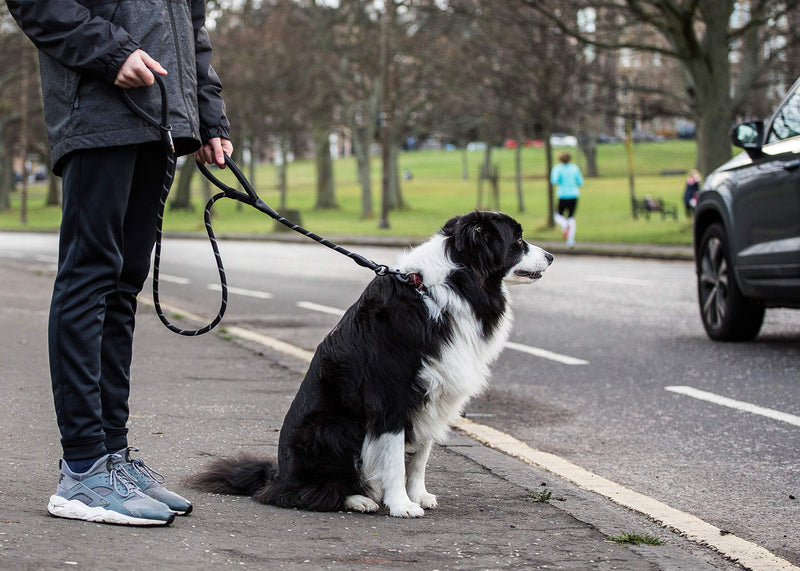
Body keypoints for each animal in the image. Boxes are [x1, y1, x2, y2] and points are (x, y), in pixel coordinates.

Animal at [186, 210, 552, 520]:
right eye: (518, 240)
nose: (551, 256)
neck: (447, 287)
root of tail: (276, 475)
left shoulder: (433, 396)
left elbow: (420, 456)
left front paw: (419, 495)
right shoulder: (391, 397)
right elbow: (394, 459)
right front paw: (402, 505)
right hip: (332, 427)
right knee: (305, 493)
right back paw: (357, 499)